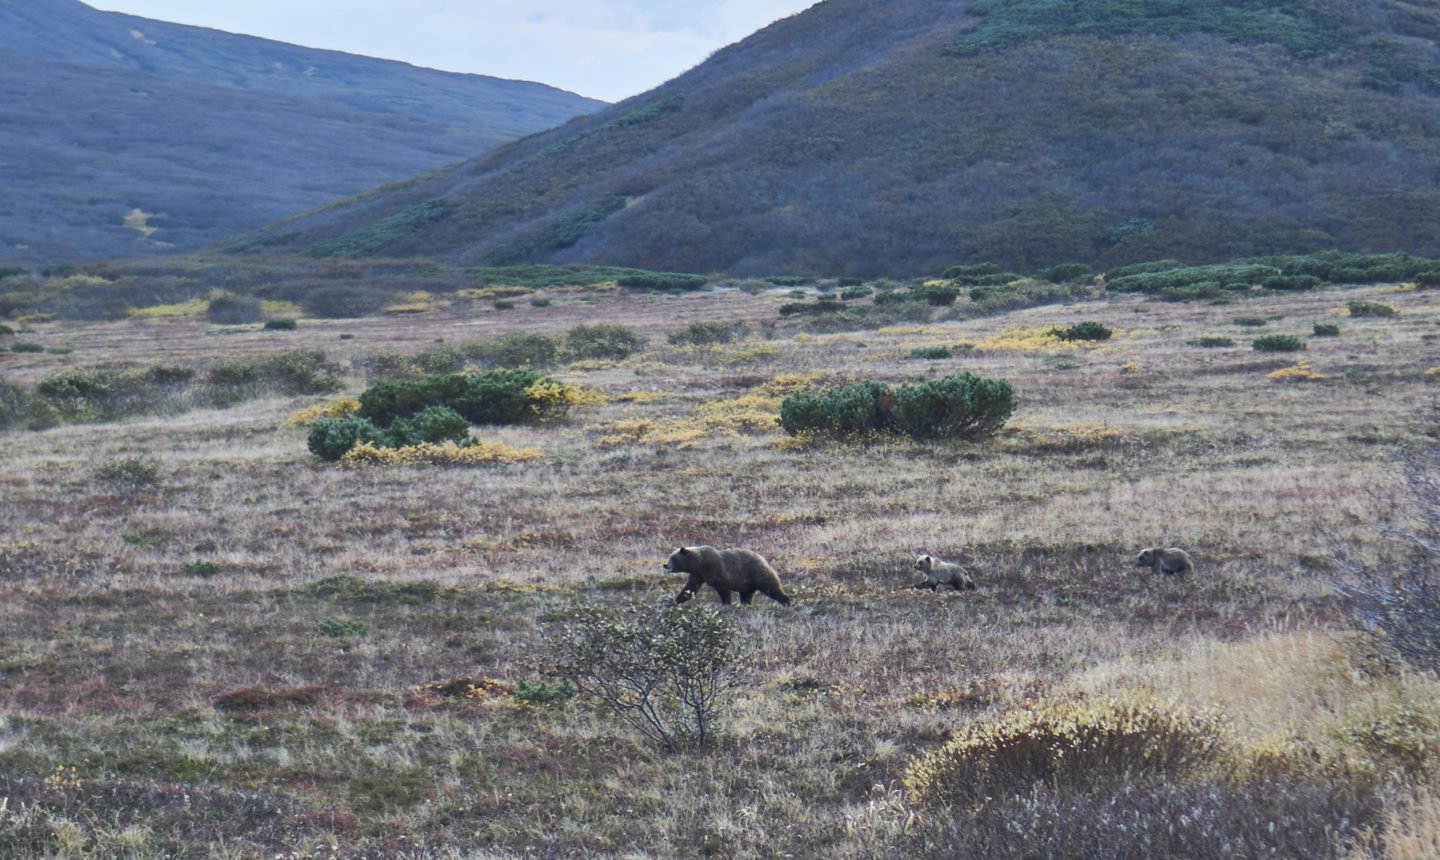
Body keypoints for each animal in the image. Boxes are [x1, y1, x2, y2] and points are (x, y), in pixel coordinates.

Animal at [659, 547, 794, 607]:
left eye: (673, 558)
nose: (665, 564)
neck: (700, 563)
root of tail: (764, 559)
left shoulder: (717, 570)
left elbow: (723, 588)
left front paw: (725, 604)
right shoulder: (697, 575)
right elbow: (690, 589)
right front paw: (673, 601)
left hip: (757, 573)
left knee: (771, 587)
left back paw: (786, 601)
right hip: (747, 584)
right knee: (746, 595)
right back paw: (745, 605)